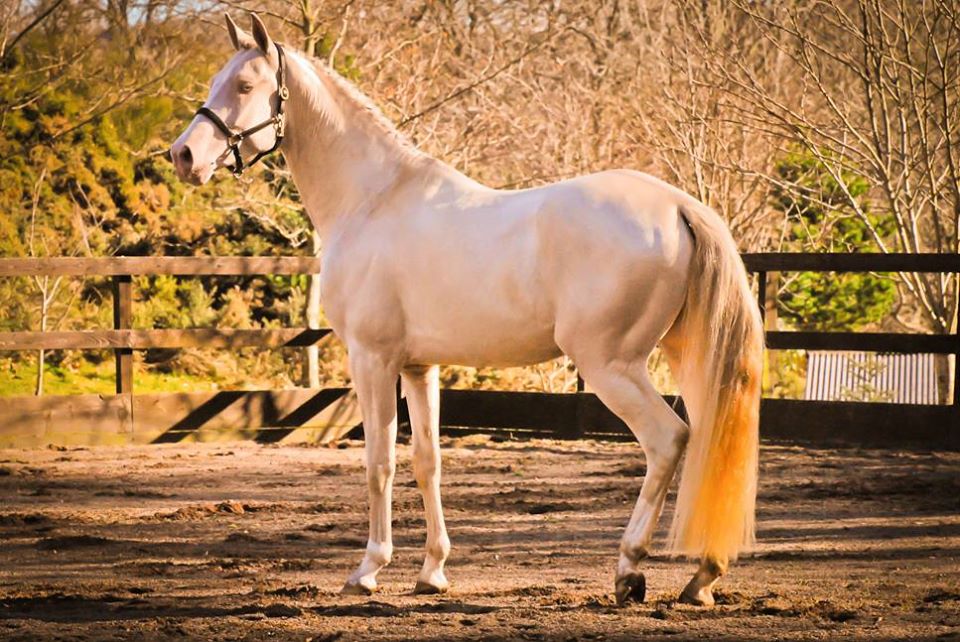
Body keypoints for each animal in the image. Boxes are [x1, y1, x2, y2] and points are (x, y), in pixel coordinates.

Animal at [171, 13, 764, 604]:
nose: (183, 156)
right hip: (684, 356)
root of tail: (678, 205)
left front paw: (368, 569)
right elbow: (427, 462)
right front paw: (432, 570)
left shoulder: (372, 359)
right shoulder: (419, 367)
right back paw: (702, 576)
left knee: (668, 441)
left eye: (244, 86)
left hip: (611, 365)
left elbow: (379, 462)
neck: (373, 200)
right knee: (709, 438)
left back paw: (630, 568)